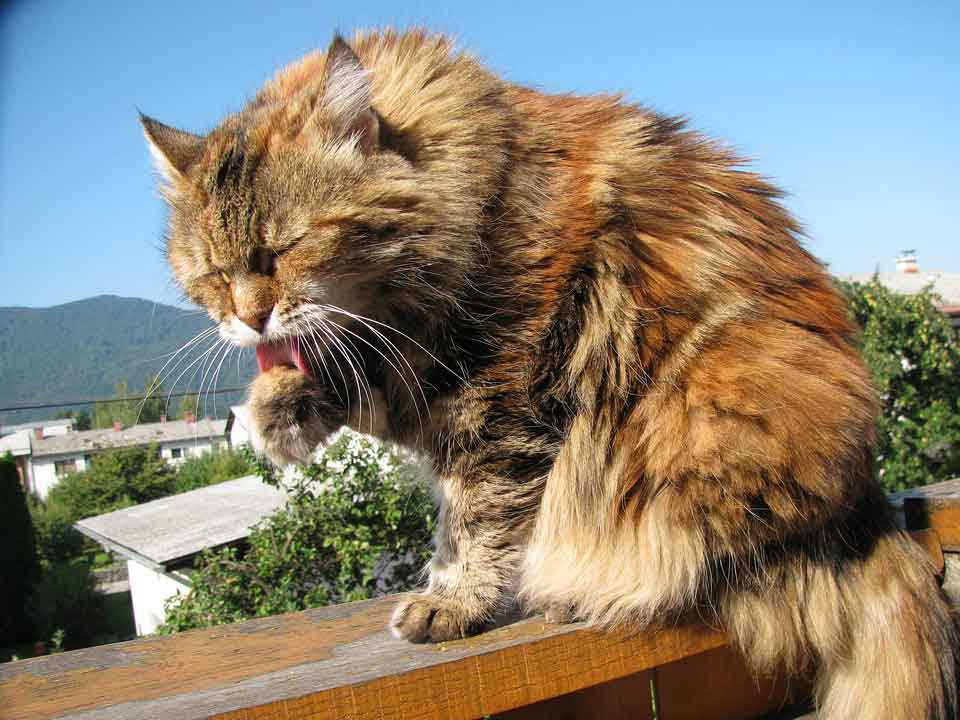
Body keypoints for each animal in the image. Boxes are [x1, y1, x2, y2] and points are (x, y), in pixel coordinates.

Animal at [144, 29, 960, 720]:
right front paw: (275, 409)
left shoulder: (498, 398)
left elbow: (475, 521)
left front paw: (454, 603)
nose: (249, 318)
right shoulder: (417, 377)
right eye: (212, 274)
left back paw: (582, 591)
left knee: (710, 560)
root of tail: (865, 507)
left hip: (707, 421)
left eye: (283, 249)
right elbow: (353, 389)